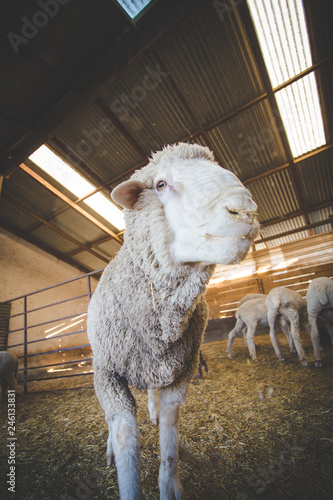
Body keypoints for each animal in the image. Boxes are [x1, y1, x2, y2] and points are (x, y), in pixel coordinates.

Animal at [87, 143, 258, 498]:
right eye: (161, 184)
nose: (244, 210)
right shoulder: (108, 374)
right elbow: (124, 433)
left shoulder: (181, 372)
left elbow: (169, 429)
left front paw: (170, 483)